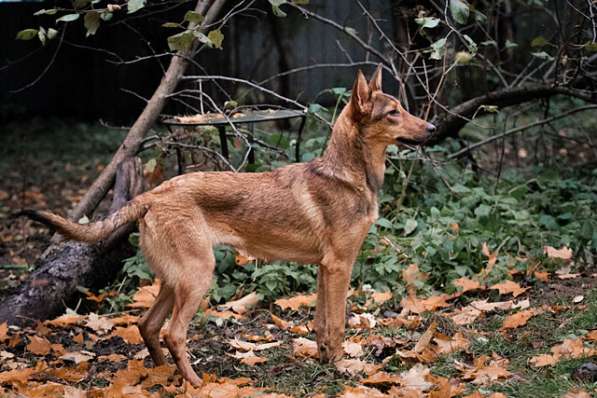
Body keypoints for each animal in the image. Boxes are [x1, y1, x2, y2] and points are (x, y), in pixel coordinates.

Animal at [22, 67, 434, 388]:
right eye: (393, 113)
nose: (431, 128)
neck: (347, 175)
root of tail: (152, 194)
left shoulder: (323, 268)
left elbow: (320, 325)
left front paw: (324, 362)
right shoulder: (339, 266)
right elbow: (336, 324)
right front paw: (341, 368)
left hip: (175, 280)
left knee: (147, 325)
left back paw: (162, 376)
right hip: (197, 276)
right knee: (173, 333)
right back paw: (194, 383)